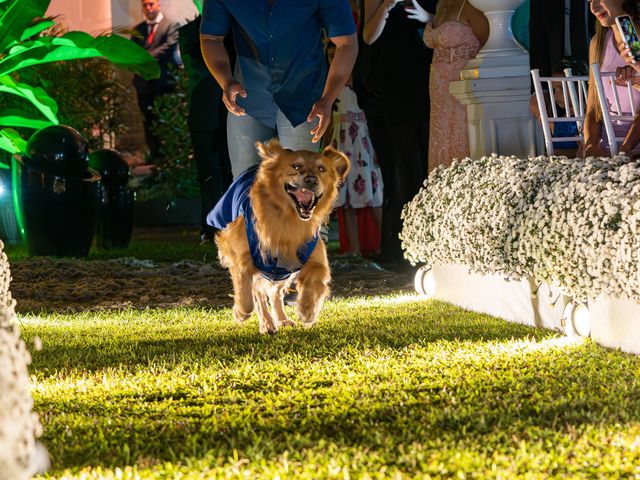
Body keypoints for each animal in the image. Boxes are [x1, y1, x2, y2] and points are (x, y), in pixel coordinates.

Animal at [218, 139, 350, 334]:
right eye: (296, 166)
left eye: (322, 169)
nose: (311, 180)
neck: (288, 219)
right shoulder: (242, 257)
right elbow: (246, 290)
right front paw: (241, 311)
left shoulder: (314, 259)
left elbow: (315, 280)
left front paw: (307, 309)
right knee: (259, 294)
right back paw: (266, 324)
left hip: (282, 273)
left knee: (275, 294)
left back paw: (281, 319)